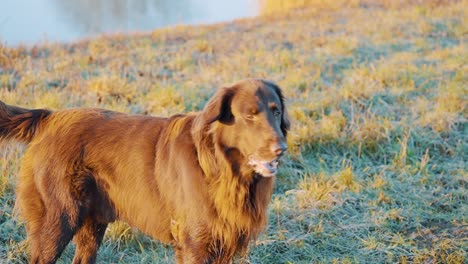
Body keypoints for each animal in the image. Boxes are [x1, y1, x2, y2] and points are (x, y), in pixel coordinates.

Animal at [0, 79, 288, 264]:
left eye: (277, 112)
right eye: (249, 116)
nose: (281, 149)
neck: (221, 168)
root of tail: (49, 118)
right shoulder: (194, 244)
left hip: (92, 222)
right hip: (58, 220)